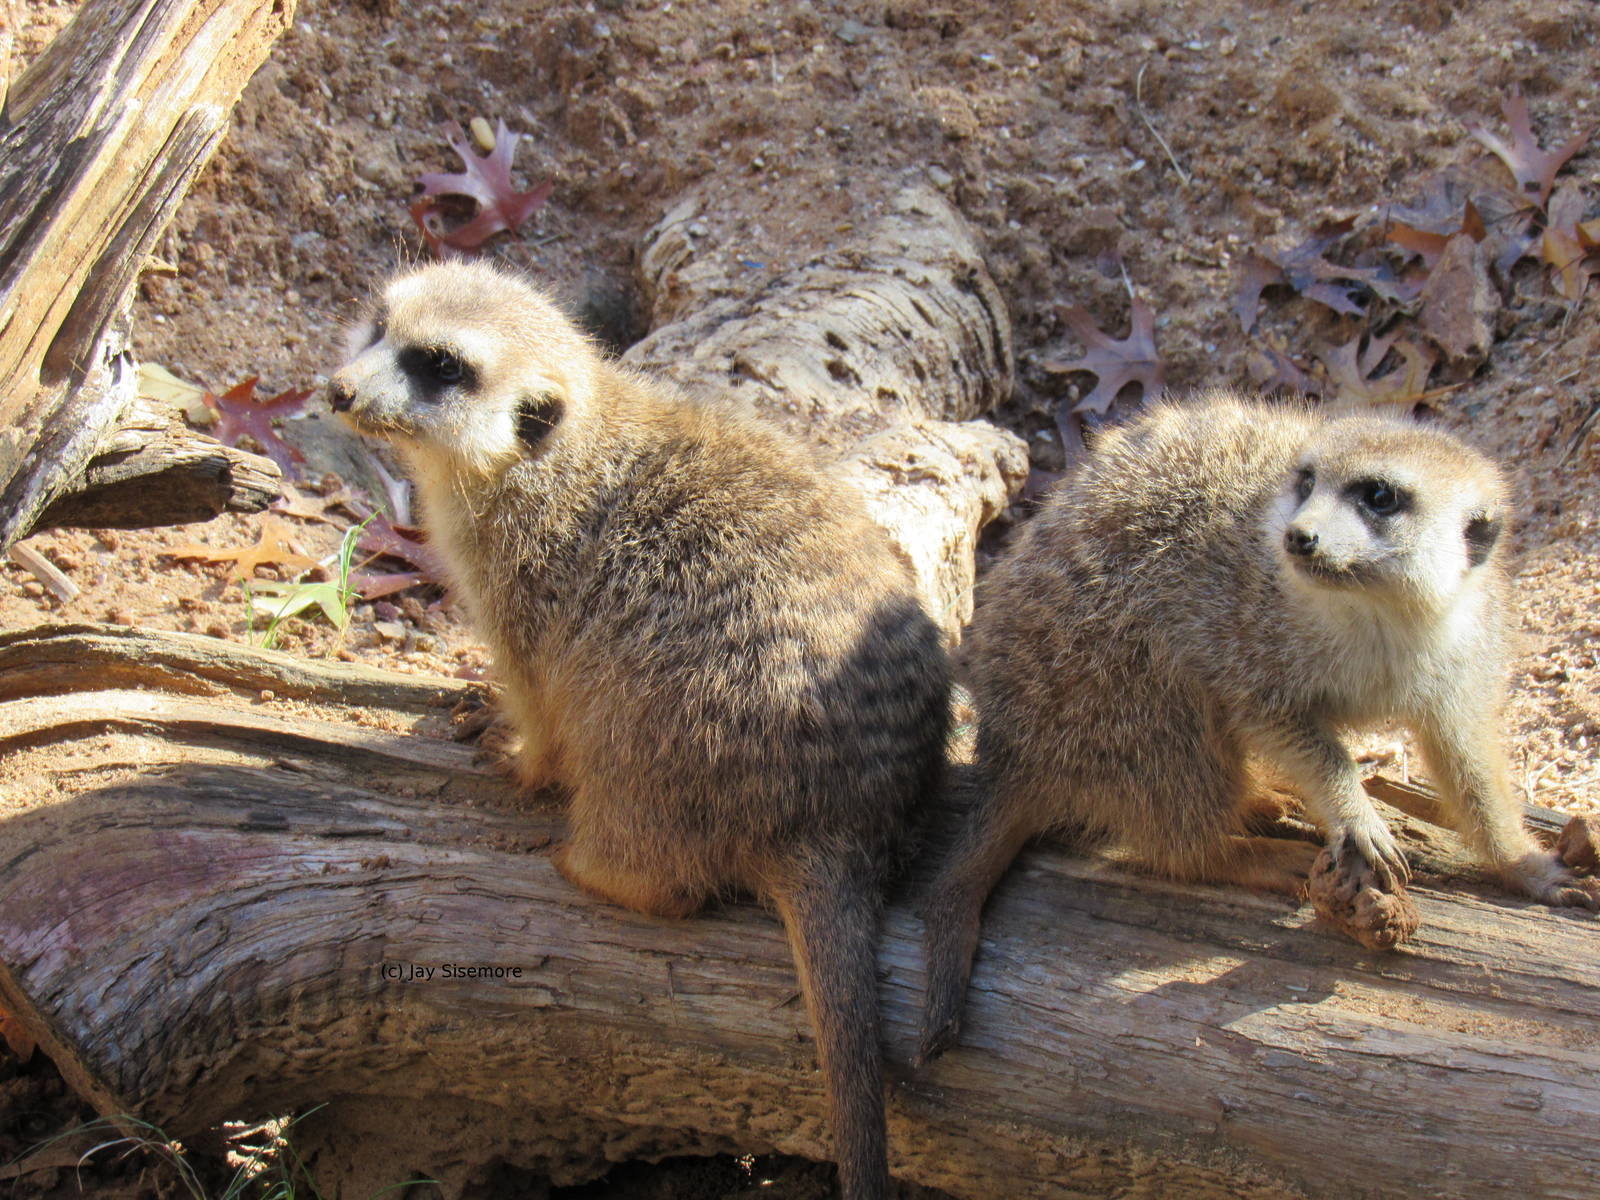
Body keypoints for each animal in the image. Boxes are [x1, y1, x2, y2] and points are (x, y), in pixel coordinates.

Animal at [329, 260, 949, 1200]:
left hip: (653, 740)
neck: (548, 458)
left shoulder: (522, 588)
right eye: (378, 323)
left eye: (441, 366)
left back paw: (584, 864)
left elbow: (537, 698)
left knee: (654, 866)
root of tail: (839, 822)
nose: (338, 390)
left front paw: (511, 749)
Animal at [918, 391, 1598, 1063]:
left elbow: (1468, 763)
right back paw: (1257, 852)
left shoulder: (1464, 657)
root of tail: (1010, 749)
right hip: (1103, 689)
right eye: (1306, 480)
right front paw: (1356, 812)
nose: (1300, 536)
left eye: (1380, 496)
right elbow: (1273, 719)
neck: (1375, 623)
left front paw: (1530, 867)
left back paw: (1262, 799)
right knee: (1176, 791)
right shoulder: (1241, 632)